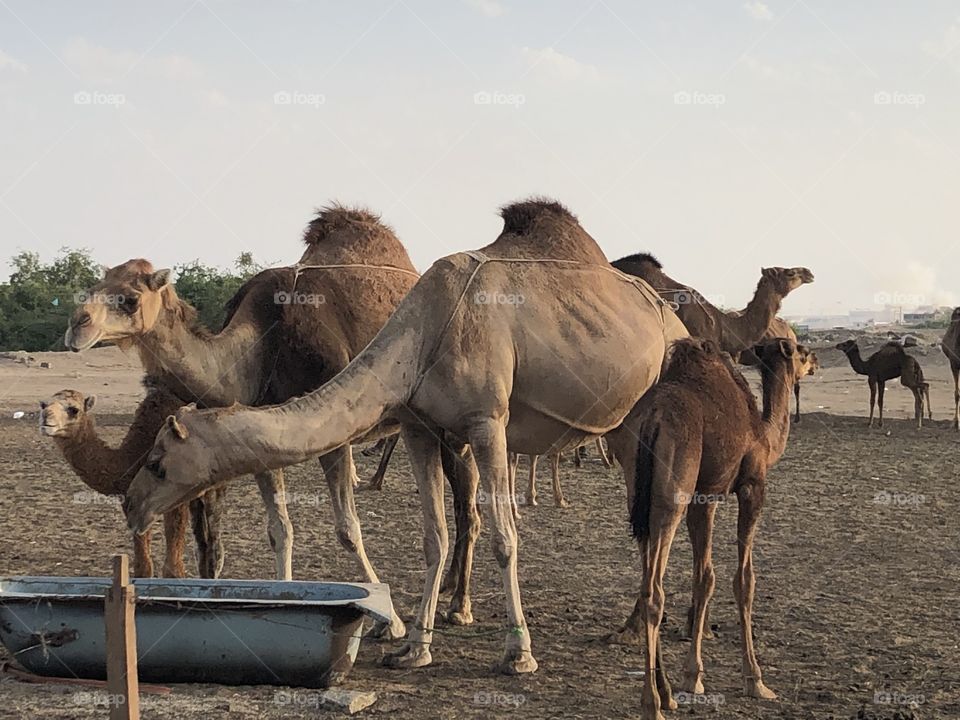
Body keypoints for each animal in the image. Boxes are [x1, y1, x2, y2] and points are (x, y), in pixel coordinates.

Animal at [38, 381, 206, 578]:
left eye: (74, 409)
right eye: (43, 405)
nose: (45, 418)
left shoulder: (178, 498)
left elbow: (172, 569)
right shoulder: (131, 501)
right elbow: (143, 566)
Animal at [64, 205, 429, 639]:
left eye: (130, 298)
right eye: (95, 285)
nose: (76, 325)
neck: (262, 351)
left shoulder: (332, 431)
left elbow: (348, 531)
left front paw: (393, 625)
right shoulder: (262, 438)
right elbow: (280, 531)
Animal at [123, 198, 689, 674]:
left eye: (158, 460)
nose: (130, 504)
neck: (423, 334)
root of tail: (672, 315)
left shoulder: (488, 421)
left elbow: (505, 536)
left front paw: (518, 653)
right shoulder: (420, 426)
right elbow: (433, 535)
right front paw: (415, 646)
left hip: (655, 401)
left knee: (665, 509)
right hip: (620, 426)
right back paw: (633, 622)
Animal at [621, 337, 812, 720]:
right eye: (800, 352)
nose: (814, 360)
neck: (765, 436)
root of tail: (652, 417)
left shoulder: (704, 497)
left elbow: (703, 577)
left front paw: (691, 676)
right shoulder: (751, 486)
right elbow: (743, 580)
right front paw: (754, 680)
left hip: (638, 495)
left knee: (646, 579)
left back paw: (665, 694)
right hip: (672, 495)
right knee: (654, 591)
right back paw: (652, 704)